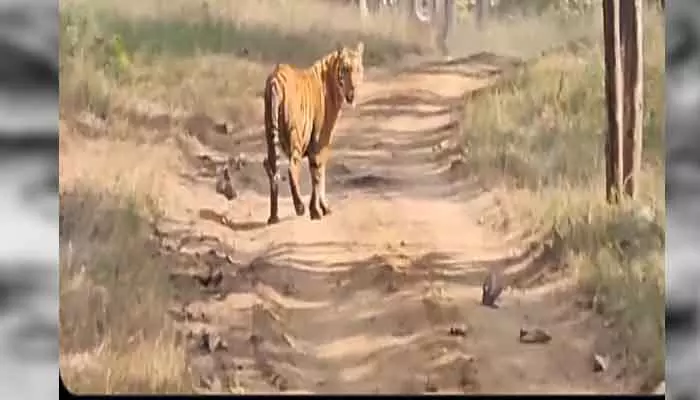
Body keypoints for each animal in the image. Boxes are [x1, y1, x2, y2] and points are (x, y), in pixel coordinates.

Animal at [262, 43, 366, 225]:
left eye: (357, 69)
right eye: (346, 69)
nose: (353, 90)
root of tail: (275, 80)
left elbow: (317, 175)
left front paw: (319, 209)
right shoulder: (321, 141)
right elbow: (318, 175)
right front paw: (318, 210)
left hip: (270, 135)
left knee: (273, 171)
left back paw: (273, 217)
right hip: (296, 134)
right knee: (292, 169)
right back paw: (299, 207)